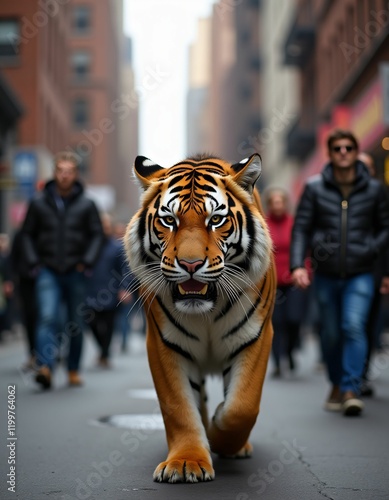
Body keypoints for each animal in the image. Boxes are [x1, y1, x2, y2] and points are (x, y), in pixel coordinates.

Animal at [125, 153, 276, 484]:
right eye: (169, 220)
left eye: (215, 220)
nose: (190, 264)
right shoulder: (164, 344)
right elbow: (179, 407)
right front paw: (187, 462)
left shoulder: (255, 337)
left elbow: (241, 407)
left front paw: (222, 437)